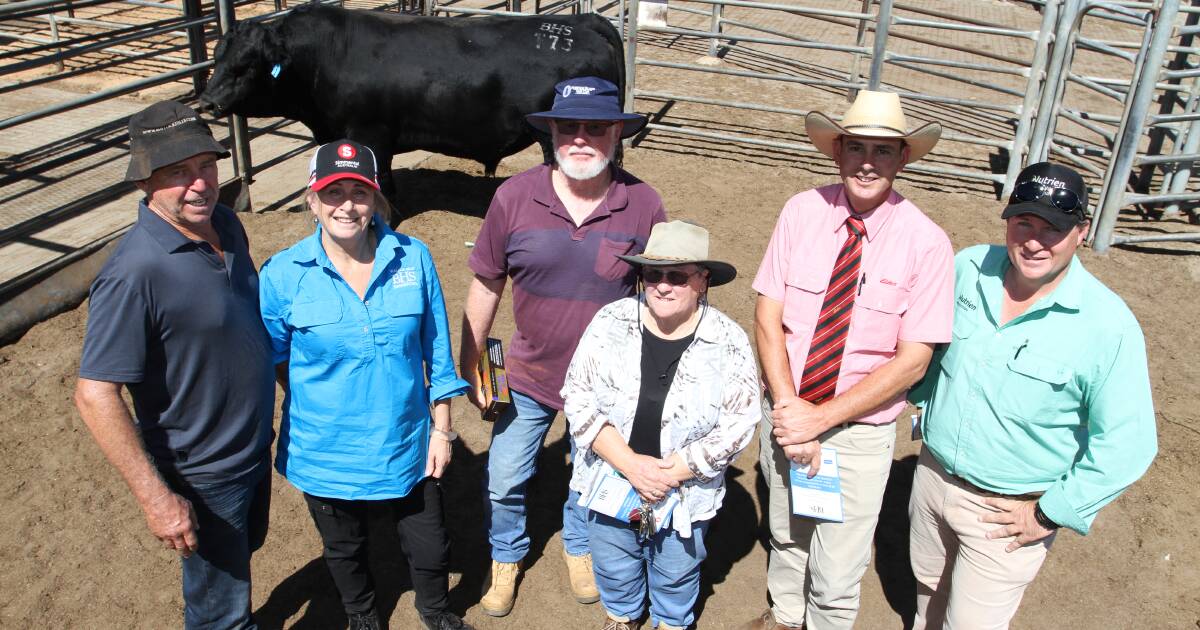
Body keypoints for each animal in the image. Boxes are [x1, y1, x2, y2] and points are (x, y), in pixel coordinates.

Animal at [196, 4, 628, 196]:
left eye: (246, 65)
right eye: (217, 58)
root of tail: (577, 22)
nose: (207, 103)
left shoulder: (370, 135)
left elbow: (380, 183)